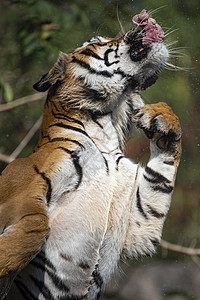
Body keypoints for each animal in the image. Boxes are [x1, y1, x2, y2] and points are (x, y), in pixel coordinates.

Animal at [0, 9, 181, 300]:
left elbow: (160, 181)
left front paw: (161, 118)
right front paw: (6, 259)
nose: (141, 24)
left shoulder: (138, 225)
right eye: (97, 41)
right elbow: (37, 225)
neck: (104, 130)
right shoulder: (22, 185)